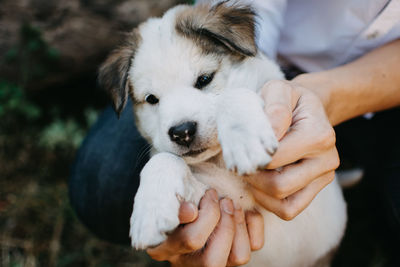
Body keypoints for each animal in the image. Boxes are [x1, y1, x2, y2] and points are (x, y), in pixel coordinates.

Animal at [98, 2, 346, 267]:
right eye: (152, 99)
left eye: (205, 79)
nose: (182, 132)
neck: (218, 161)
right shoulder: (217, 200)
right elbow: (163, 159)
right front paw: (150, 213)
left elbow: (232, 95)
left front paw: (245, 140)